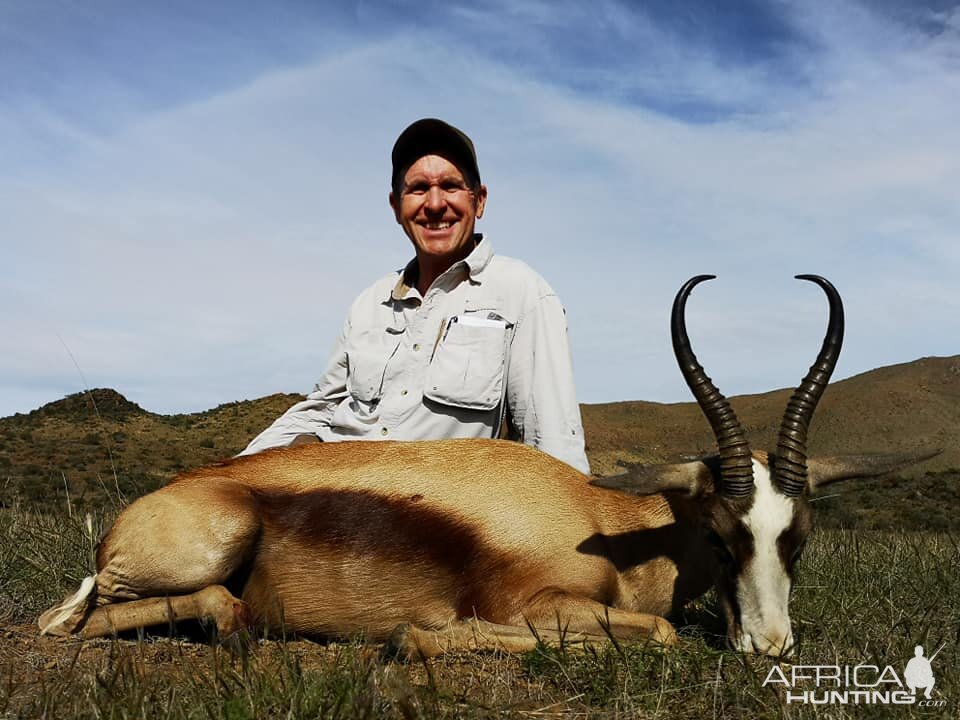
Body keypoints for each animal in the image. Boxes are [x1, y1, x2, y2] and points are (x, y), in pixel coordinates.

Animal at [37, 276, 928, 660]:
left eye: (797, 537)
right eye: (719, 531)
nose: (771, 646)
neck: (605, 525)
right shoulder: (534, 605)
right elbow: (663, 631)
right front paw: (423, 634)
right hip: (204, 548)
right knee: (63, 621)